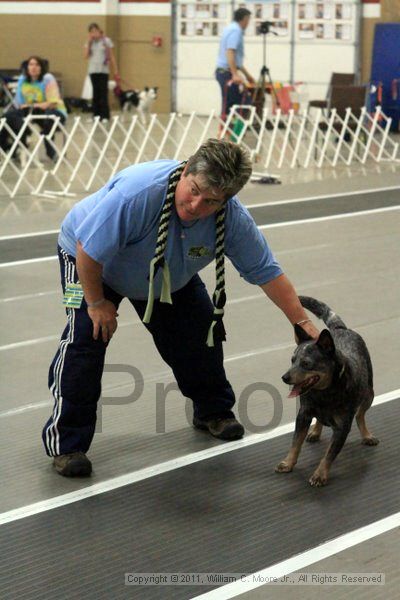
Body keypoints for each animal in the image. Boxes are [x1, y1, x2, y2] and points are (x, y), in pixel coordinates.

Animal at [276, 296, 380, 488]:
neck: (324, 394)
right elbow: (295, 443)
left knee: (360, 415)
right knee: (320, 419)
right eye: (292, 360)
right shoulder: (303, 415)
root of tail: (339, 328)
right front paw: (288, 462)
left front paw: (319, 475)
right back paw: (315, 431)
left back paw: (367, 435)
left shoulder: (342, 427)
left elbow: (329, 454)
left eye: (306, 363)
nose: (285, 377)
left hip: (369, 393)